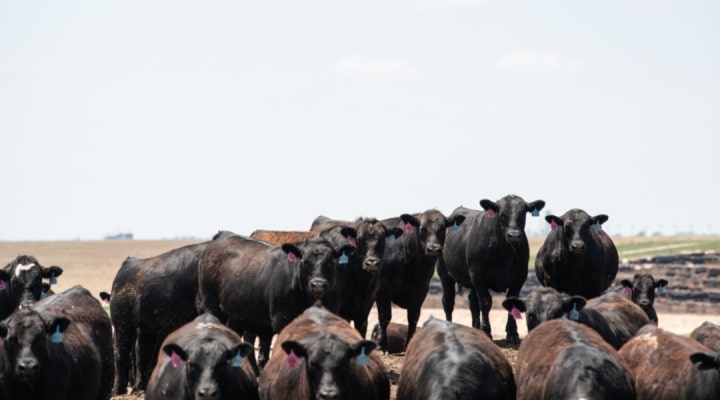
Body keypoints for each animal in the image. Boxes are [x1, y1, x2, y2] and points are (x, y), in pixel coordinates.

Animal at [109, 232, 228, 394]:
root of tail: (128, 262)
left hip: (147, 329)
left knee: (142, 355)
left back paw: (140, 387)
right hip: (122, 324)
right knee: (121, 353)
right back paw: (118, 390)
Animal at [198, 232, 354, 367]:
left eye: (331, 262)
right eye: (305, 261)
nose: (318, 284)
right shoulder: (282, 320)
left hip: (240, 316)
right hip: (213, 307)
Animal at [374, 209, 462, 351]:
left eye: (443, 229)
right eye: (422, 229)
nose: (434, 249)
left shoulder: (421, 289)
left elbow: (413, 317)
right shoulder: (383, 287)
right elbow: (385, 316)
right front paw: (382, 345)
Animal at [437, 195, 545, 343]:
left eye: (523, 213)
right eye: (502, 214)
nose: (514, 235)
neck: (504, 253)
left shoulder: (520, 277)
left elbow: (511, 302)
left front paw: (512, 334)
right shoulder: (478, 275)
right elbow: (485, 302)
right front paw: (487, 332)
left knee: (472, 301)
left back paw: (476, 328)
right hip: (445, 273)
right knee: (448, 301)